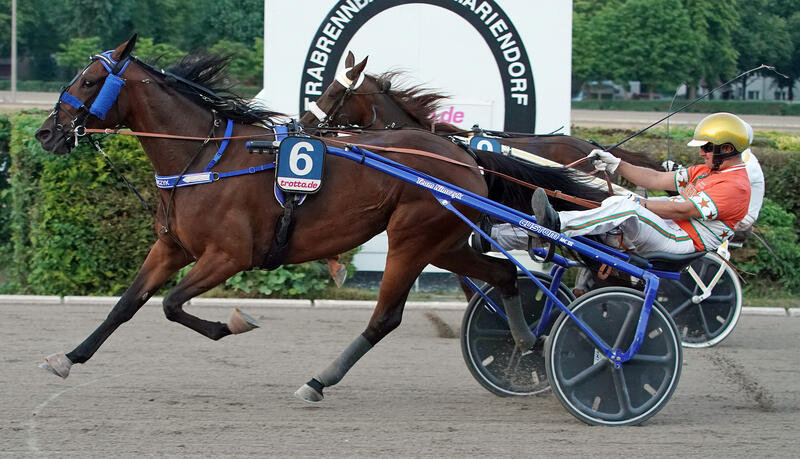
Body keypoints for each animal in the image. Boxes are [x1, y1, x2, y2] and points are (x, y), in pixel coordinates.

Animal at [32, 36, 608, 402]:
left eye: (89, 80)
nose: (44, 133)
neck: (203, 156)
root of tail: (463, 154)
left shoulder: (229, 255)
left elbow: (173, 305)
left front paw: (233, 322)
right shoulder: (171, 247)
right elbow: (127, 304)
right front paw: (68, 357)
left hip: (411, 238)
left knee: (386, 317)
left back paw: (318, 381)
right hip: (443, 241)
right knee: (504, 274)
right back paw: (528, 347)